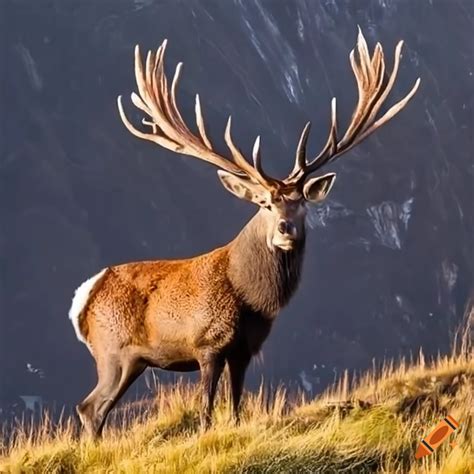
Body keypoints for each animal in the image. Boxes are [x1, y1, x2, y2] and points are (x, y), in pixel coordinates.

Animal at [67, 28, 418, 436]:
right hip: (113, 352)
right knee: (90, 407)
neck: (252, 299)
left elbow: (235, 407)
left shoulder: (245, 350)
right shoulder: (207, 343)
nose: (285, 229)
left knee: (95, 408)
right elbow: (206, 411)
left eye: (302, 203)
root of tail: (82, 298)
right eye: (265, 203)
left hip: (130, 361)